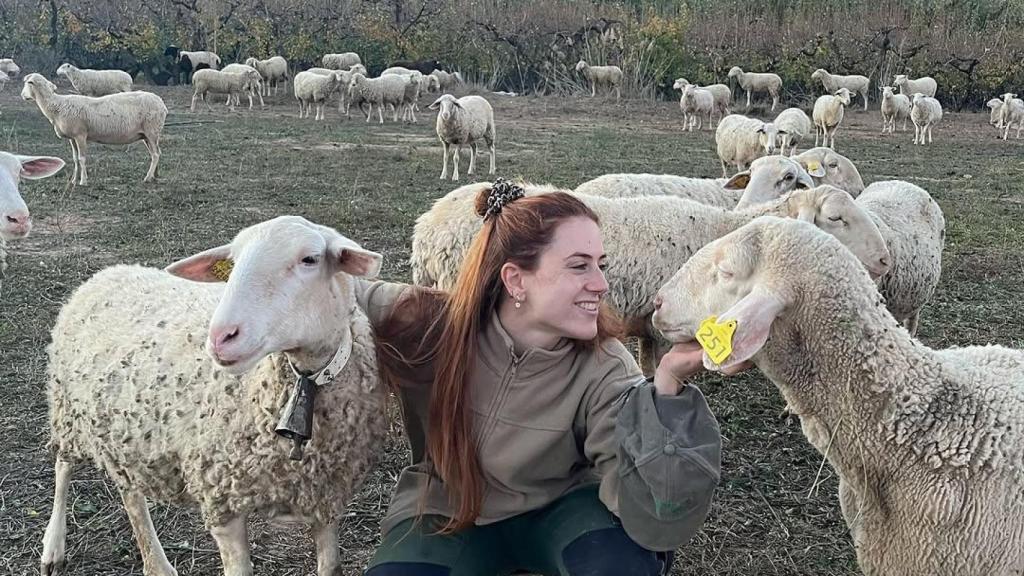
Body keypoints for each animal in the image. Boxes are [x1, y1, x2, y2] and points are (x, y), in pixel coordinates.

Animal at [21, 73, 166, 186]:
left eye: (28, 83)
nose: (22, 95)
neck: (57, 106)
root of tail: (161, 103)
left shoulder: (80, 135)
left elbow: (82, 158)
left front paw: (83, 181)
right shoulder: (72, 138)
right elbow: (75, 158)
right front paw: (73, 180)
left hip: (152, 130)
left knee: (155, 154)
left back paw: (147, 177)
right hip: (146, 135)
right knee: (156, 153)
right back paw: (154, 176)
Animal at [40, 215, 387, 576]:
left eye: (310, 259)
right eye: (232, 263)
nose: (220, 337)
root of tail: (109, 271)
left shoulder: (326, 496)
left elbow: (330, 565)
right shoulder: (222, 500)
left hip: (118, 429)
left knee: (130, 493)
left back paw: (157, 563)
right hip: (65, 407)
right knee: (63, 468)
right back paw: (53, 547)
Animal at [410, 182, 890, 375]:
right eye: (836, 218)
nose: (885, 261)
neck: (721, 229)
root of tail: (426, 228)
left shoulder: (647, 323)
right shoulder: (660, 325)